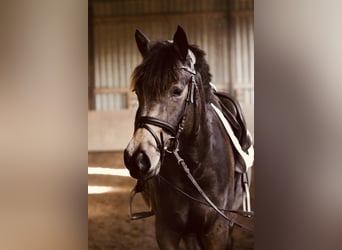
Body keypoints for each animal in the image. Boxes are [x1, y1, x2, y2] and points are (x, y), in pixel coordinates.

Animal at [123, 25, 251, 250]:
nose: (137, 158)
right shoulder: (166, 230)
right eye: (138, 92)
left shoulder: (216, 230)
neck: (195, 166)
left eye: (177, 91)